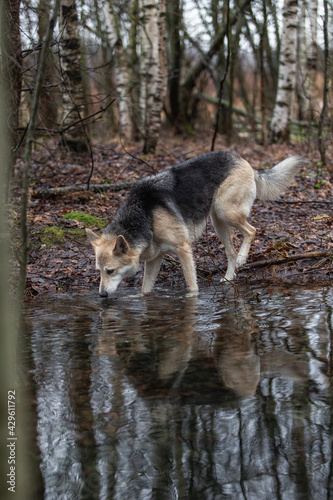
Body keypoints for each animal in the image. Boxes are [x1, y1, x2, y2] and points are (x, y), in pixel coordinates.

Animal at [87, 148, 302, 296]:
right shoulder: (155, 258)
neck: (144, 214)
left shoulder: (183, 248)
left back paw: (242, 257)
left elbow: (192, 286)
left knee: (252, 231)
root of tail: (240, 158)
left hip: (226, 212)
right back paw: (228, 277)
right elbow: (145, 290)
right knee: (230, 252)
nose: (102, 295)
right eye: (99, 272)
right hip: (218, 223)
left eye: (110, 271)